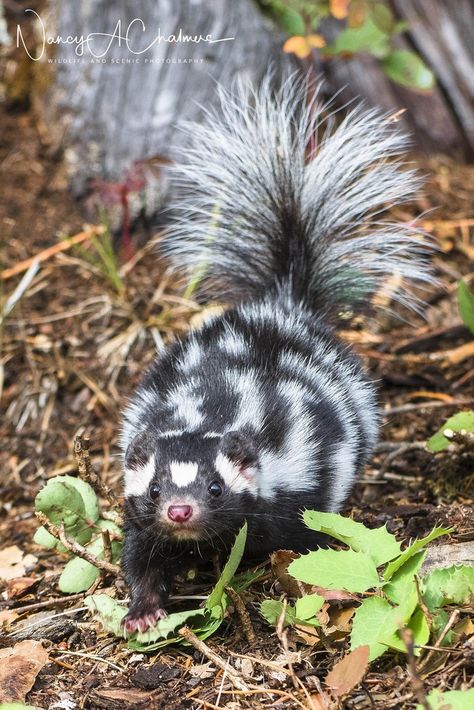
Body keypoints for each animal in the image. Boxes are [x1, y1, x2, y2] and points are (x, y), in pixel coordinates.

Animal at [119, 78, 434, 636]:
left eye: (216, 489)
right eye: (155, 491)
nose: (180, 512)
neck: (210, 417)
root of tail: (283, 304)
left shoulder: (298, 484)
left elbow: (304, 540)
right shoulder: (142, 516)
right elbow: (141, 553)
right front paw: (144, 610)